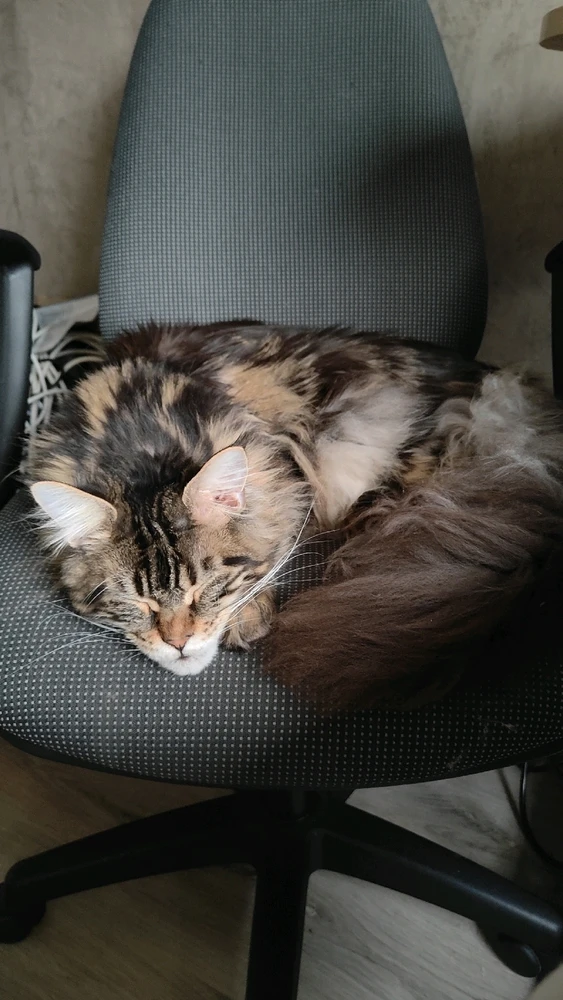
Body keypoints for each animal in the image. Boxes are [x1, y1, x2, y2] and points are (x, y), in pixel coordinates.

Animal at [26, 322, 563, 710]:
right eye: (137, 602)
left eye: (205, 586)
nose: (178, 643)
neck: (138, 445)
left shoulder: (287, 467)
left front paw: (249, 615)